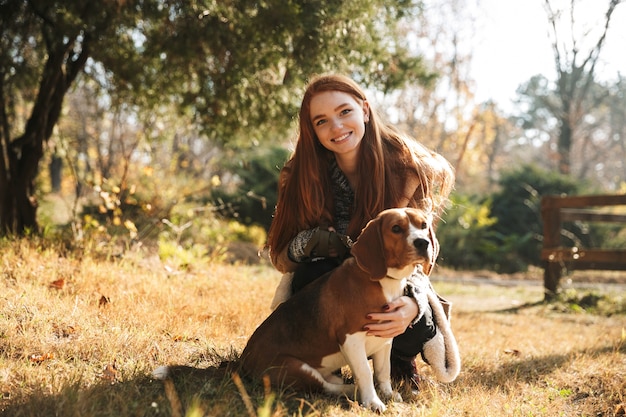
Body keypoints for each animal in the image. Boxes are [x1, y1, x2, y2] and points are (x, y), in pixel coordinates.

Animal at [241, 206, 436, 412]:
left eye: (423, 225)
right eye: (396, 228)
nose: (423, 242)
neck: (384, 281)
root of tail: (244, 360)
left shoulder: (384, 338)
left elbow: (383, 371)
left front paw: (387, 394)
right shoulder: (351, 339)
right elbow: (366, 372)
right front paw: (373, 401)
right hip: (294, 367)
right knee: (326, 387)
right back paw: (352, 390)